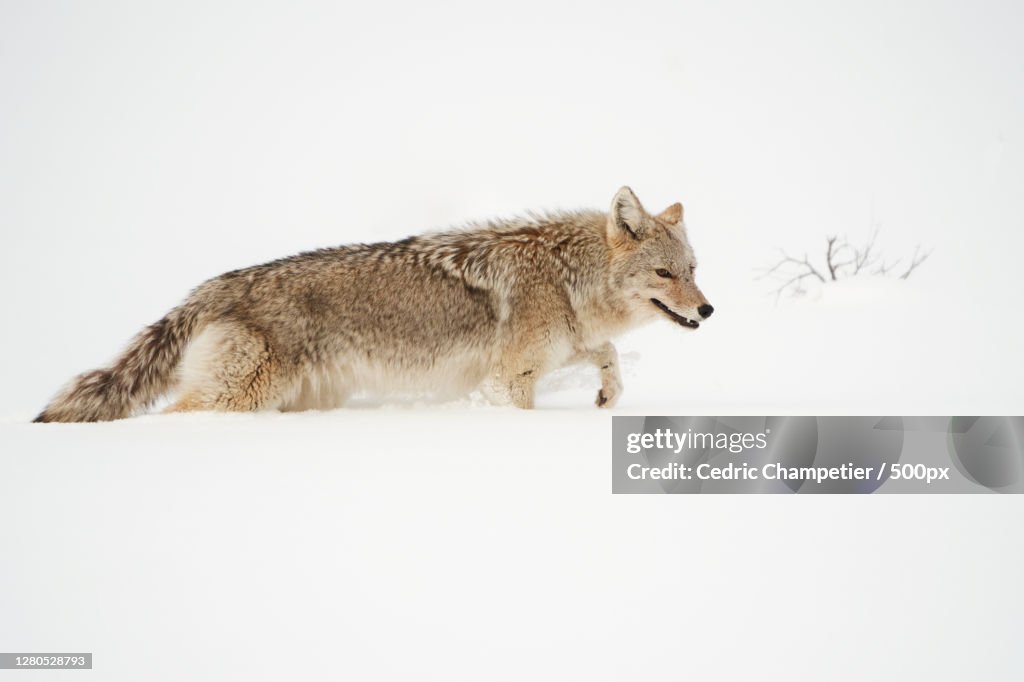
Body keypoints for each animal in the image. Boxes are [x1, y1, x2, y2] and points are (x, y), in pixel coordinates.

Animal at [37, 187, 712, 419]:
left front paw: (607, 396)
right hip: (241, 396)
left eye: (694, 271)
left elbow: (608, 355)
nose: (708, 311)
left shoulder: (557, 349)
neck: (566, 277)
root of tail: (213, 286)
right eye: (663, 273)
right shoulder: (508, 378)